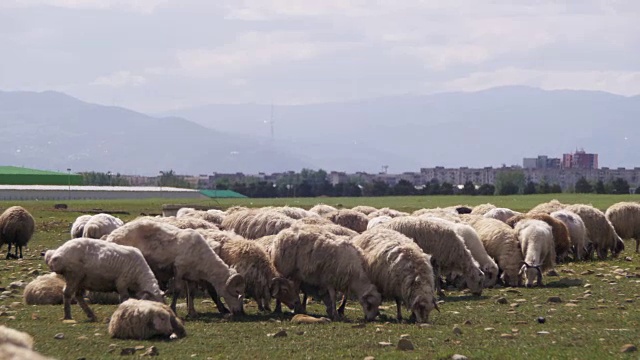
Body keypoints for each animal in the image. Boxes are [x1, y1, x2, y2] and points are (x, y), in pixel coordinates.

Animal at [105, 219, 245, 318]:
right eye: (237, 291)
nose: (239, 312)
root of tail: (111, 235)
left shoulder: (191, 276)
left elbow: (192, 293)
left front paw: (192, 312)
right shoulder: (179, 269)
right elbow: (177, 290)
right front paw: (173, 309)